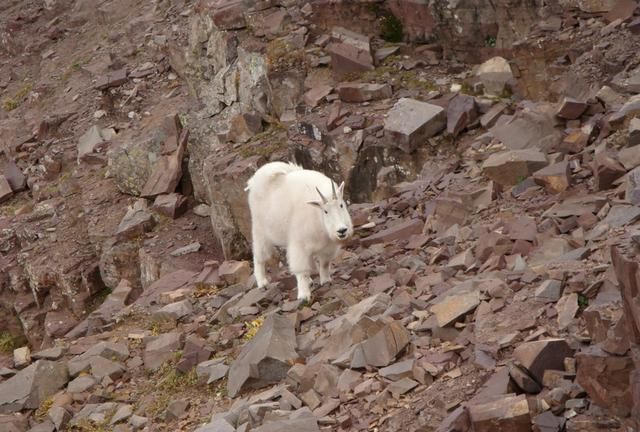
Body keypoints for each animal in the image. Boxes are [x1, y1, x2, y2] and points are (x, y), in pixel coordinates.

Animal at [245, 161, 356, 300]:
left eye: (341, 205)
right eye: (325, 211)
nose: (341, 230)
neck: (318, 218)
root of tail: (256, 180)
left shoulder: (328, 246)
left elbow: (324, 263)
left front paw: (326, 281)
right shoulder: (299, 244)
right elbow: (301, 270)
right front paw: (303, 296)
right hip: (260, 230)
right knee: (259, 255)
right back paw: (262, 282)